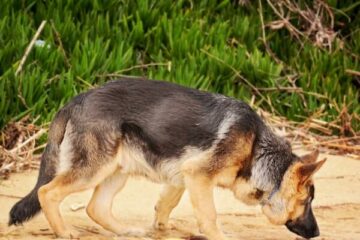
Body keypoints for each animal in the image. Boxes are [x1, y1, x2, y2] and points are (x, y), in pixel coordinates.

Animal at [8, 78, 324, 239]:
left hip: (117, 171)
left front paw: (161, 227)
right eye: (307, 201)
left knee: (95, 208)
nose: (318, 233)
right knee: (47, 192)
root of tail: (75, 101)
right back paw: (64, 232)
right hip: (92, 170)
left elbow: (166, 203)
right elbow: (209, 216)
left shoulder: (184, 175)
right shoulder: (199, 177)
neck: (257, 148)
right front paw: (217, 235)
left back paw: (126, 231)